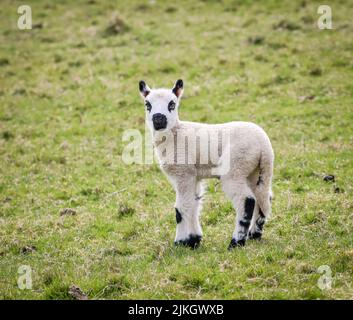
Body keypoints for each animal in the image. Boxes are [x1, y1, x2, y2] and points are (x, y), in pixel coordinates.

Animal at [139, 79, 274, 249]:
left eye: (172, 104)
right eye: (147, 104)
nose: (158, 119)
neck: (175, 135)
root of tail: (264, 147)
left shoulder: (183, 173)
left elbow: (181, 208)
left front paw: (180, 242)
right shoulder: (193, 175)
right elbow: (194, 204)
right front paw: (193, 240)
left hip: (235, 167)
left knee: (247, 200)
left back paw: (236, 242)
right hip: (256, 171)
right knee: (263, 198)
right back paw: (254, 234)